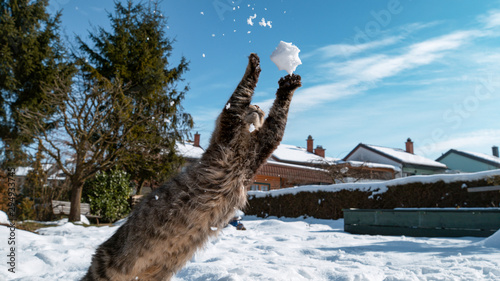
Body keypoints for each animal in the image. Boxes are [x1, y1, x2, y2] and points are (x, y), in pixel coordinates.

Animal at [81, 53, 300, 280]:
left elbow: (277, 116)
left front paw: (289, 87)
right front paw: (255, 67)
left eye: (260, 108)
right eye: (254, 105)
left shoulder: (262, 146)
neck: (244, 144)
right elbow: (243, 92)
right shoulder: (231, 125)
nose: (257, 107)